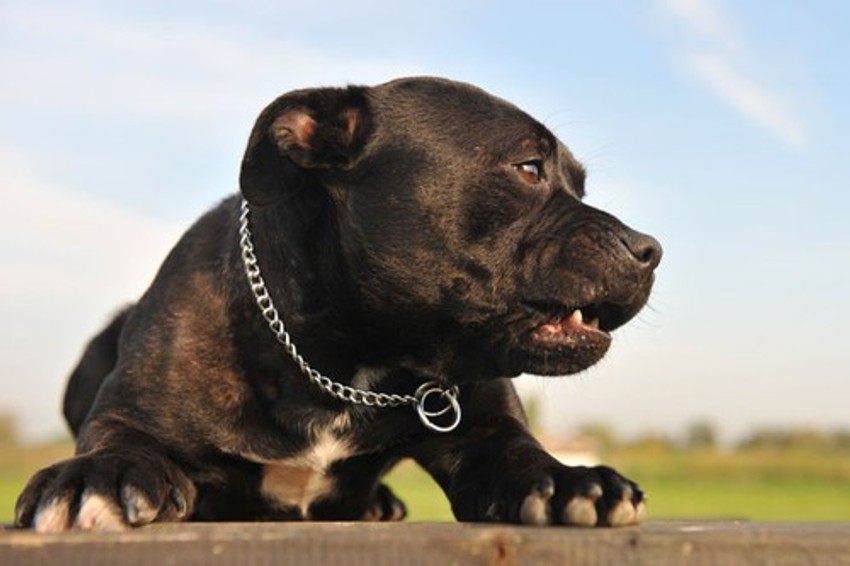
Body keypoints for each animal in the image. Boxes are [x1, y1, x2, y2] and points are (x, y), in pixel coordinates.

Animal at [15, 77, 661, 531]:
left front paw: (573, 481)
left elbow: (523, 457)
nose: (649, 248)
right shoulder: (128, 414)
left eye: (581, 186)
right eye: (528, 167)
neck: (348, 365)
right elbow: (119, 443)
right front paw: (94, 478)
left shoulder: (486, 433)